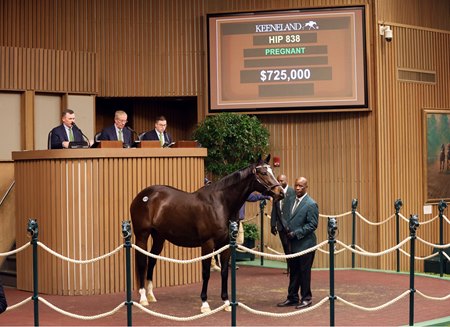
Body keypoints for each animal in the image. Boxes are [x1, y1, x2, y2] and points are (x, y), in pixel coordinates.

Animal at [130, 155, 284, 314]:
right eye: (263, 173)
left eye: (272, 171)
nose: (280, 193)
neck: (221, 203)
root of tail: (144, 195)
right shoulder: (207, 244)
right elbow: (206, 272)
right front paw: (204, 304)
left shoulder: (226, 244)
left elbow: (224, 271)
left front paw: (226, 302)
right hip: (142, 235)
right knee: (141, 262)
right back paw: (143, 297)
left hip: (159, 237)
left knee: (151, 260)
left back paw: (150, 295)